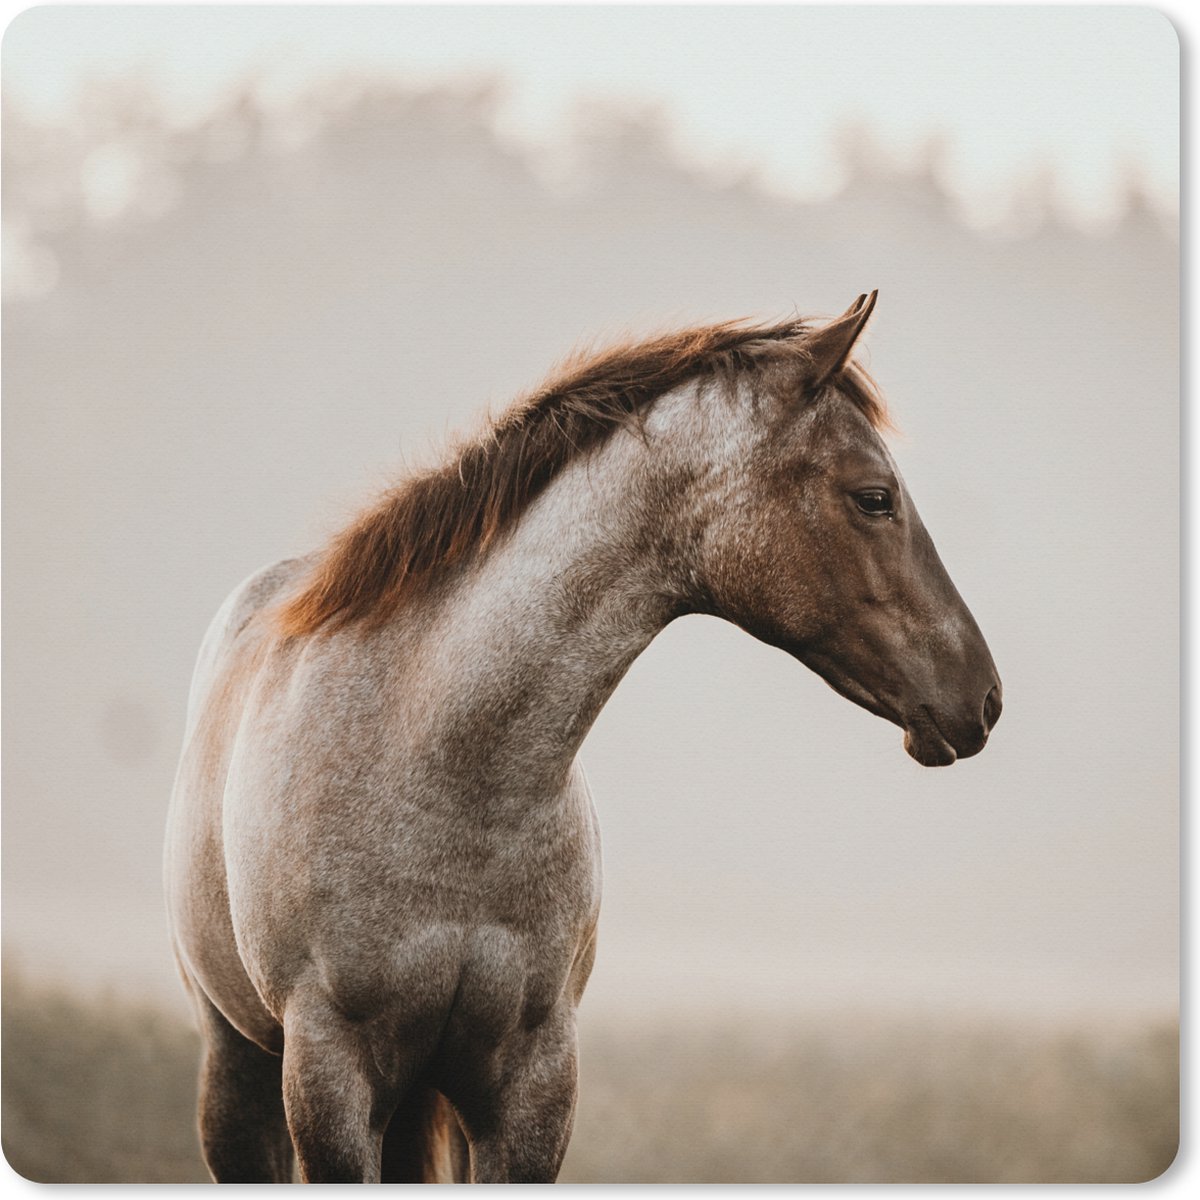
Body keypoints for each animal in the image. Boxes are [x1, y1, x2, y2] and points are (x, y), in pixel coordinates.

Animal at [164, 291, 1001, 1183]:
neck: (441, 769)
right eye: (874, 497)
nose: (983, 696)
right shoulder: (331, 1079)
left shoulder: (532, 1086)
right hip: (241, 1072)